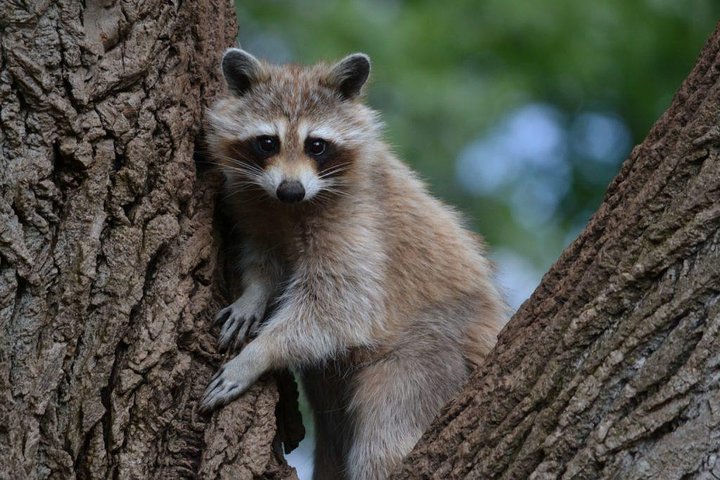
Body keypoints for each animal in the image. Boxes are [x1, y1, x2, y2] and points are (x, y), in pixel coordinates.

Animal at [200, 48, 506, 480]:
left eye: (316, 145)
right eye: (267, 143)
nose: (291, 189)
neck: (288, 209)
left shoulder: (358, 222)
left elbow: (343, 305)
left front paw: (260, 353)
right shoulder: (253, 203)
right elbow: (264, 257)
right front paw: (254, 295)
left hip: (426, 357)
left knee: (384, 440)